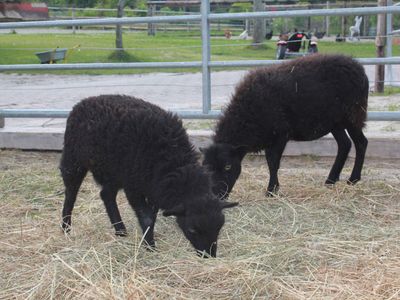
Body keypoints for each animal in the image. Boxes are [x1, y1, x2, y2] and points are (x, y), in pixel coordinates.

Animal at [60, 95, 236, 256]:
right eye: (192, 229)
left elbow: (153, 216)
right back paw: (66, 227)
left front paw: (148, 239)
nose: (209, 255)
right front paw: (150, 246)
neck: (173, 161)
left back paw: (120, 231)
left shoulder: (153, 188)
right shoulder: (134, 187)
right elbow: (147, 218)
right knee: (71, 194)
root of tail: (83, 102)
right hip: (73, 159)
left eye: (220, 227)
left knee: (106, 195)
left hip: (114, 172)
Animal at [203, 54, 368, 198]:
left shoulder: (280, 134)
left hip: (353, 114)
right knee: (345, 144)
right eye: (207, 168)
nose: (217, 196)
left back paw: (353, 179)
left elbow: (272, 162)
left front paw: (271, 190)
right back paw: (330, 180)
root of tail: (358, 66)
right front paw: (273, 189)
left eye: (228, 166)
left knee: (361, 142)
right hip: (335, 122)